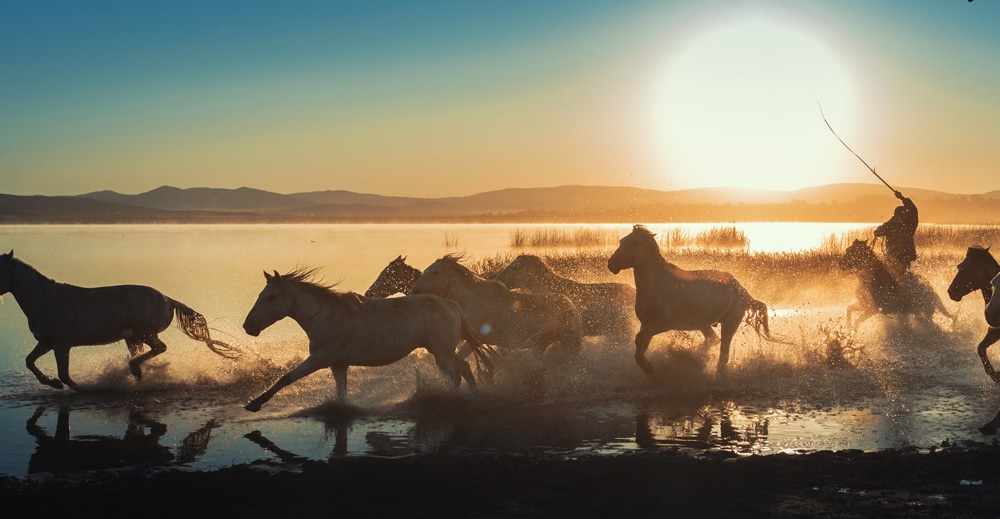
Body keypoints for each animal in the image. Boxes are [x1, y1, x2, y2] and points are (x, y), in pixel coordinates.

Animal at [0, 250, 238, 390]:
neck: (44, 300)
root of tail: (168, 299)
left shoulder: (61, 344)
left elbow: (65, 375)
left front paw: (79, 388)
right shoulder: (47, 342)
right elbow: (29, 361)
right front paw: (52, 383)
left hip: (144, 332)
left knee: (159, 348)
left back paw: (134, 370)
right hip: (134, 338)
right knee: (147, 352)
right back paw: (138, 375)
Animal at [242, 268, 492, 412]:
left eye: (272, 296)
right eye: (260, 295)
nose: (248, 326)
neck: (324, 316)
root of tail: (449, 303)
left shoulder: (320, 358)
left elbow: (286, 378)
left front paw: (254, 404)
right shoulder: (338, 364)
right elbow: (341, 392)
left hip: (442, 353)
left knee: (456, 375)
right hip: (442, 351)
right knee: (465, 368)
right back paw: (475, 395)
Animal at [409, 254, 584, 361]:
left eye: (436, 273)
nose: (414, 290)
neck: (471, 301)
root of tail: (570, 304)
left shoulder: (477, 340)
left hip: (570, 341)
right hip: (543, 343)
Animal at [607, 225, 771, 376]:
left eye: (636, 243)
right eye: (622, 241)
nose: (611, 263)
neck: (658, 284)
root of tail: (743, 291)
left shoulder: (663, 324)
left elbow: (639, 340)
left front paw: (649, 368)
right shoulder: (646, 324)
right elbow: (640, 346)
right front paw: (648, 368)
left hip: (729, 324)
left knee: (723, 355)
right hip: (704, 324)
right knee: (713, 340)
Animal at [947, 246, 1000, 434]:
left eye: (967, 268)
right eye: (959, 266)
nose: (951, 291)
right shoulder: (994, 332)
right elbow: (980, 348)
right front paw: (996, 375)